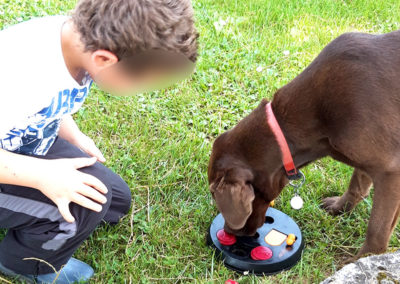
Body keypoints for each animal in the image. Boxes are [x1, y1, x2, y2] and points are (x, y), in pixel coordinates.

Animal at [208, 30, 400, 258]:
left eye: (216, 198)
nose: (228, 232)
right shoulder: (369, 158)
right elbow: (357, 186)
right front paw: (339, 207)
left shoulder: (390, 170)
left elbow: (377, 230)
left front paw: (363, 259)